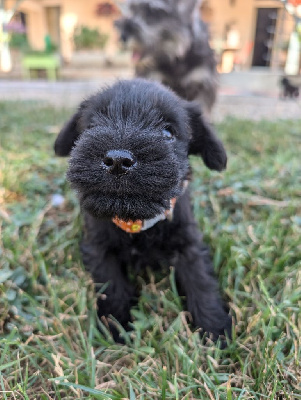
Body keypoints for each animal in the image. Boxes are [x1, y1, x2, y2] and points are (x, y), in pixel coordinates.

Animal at [54, 79, 231, 344]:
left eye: (168, 133)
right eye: (92, 126)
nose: (118, 159)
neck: (136, 220)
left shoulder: (188, 244)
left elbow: (200, 280)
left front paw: (214, 329)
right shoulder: (99, 248)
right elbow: (111, 285)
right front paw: (116, 326)